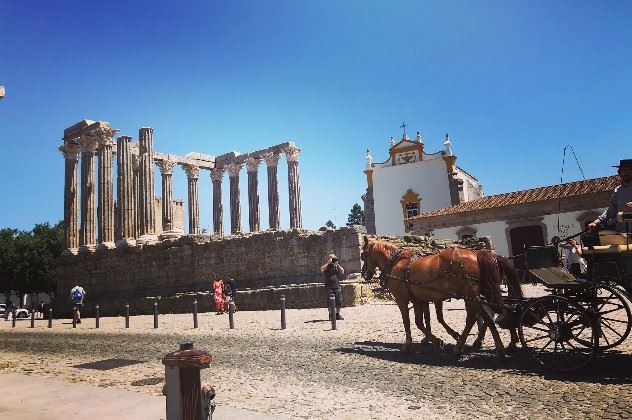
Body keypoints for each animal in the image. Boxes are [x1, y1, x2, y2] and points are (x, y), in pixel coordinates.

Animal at [362, 238, 506, 360]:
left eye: (363, 254)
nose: (364, 274)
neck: (396, 263)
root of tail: (476, 253)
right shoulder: (419, 300)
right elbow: (422, 321)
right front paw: (434, 339)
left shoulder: (402, 300)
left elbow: (408, 322)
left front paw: (408, 345)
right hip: (470, 297)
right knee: (474, 318)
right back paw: (461, 346)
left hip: (471, 297)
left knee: (483, 318)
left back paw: (498, 349)